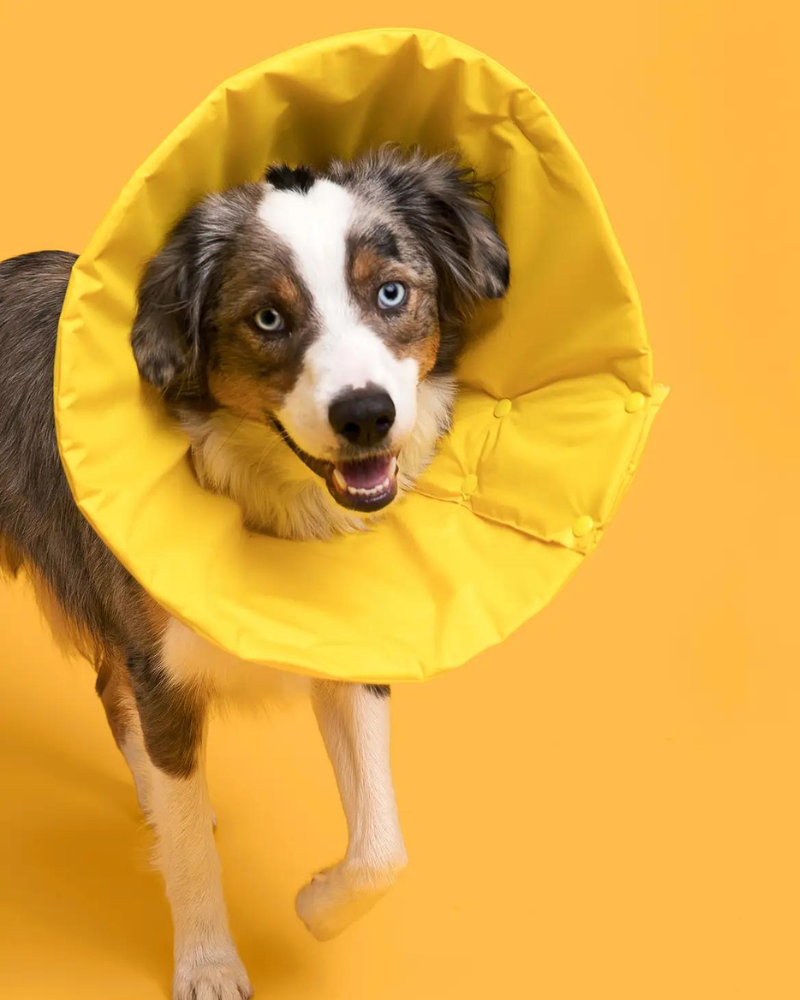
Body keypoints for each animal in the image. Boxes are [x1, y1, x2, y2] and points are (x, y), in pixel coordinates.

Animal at [0, 148, 512, 1000]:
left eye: (391, 292)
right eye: (268, 319)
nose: (366, 415)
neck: (271, 490)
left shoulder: (351, 651)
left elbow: (383, 850)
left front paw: (317, 904)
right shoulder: (163, 666)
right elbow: (194, 855)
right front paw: (208, 962)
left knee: (110, 691)